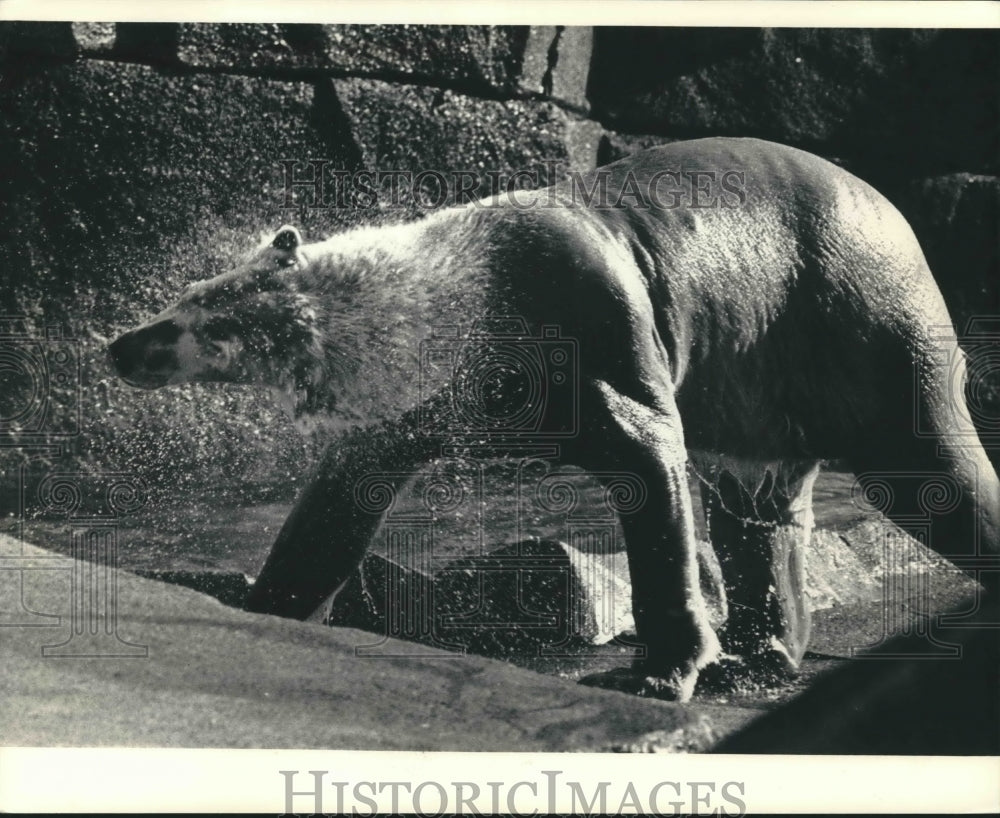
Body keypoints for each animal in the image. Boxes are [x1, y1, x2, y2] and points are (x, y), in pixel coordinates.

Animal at [109, 137, 1000, 702]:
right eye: (184, 295)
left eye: (196, 326)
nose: (122, 344)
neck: (470, 299)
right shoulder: (424, 402)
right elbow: (339, 501)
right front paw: (264, 605)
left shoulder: (590, 323)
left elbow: (647, 456)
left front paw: (657, 673)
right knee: (758, 509)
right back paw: (756, 659)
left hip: (862, 318)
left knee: (926, 472)